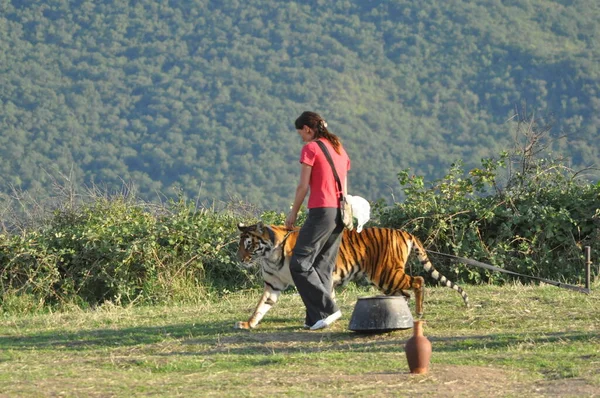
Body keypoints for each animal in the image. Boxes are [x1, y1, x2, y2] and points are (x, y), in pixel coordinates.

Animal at [234, 221, 468, 330]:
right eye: (240, 245)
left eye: (249, 244)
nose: (239, 259)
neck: (269, 255)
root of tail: (403, 232)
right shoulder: (273, 285)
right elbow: (261, 306)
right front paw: (249, 324)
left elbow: (316, 297)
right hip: (387, 280)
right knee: (406, 292)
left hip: (386, 274)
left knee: (419, 281)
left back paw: (418, 312)